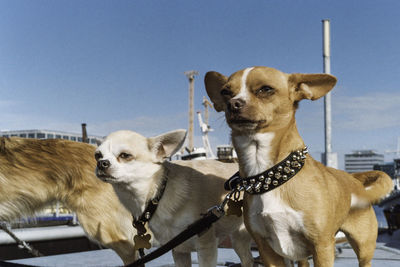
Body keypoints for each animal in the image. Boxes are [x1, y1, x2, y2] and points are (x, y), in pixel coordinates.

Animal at [94, 130, 253, 267]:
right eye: (97, 155)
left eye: (125, 155)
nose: (102, 163)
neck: (158, 193)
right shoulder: (179, 250)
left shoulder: (206, 246)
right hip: (238, 239)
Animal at [206, 66, 394, 266]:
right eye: (225, 92)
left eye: (265, 89)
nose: (233, 103)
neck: (267, 174)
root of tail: (352, 178)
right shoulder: (267, 250)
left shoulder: (322, 246)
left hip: (363, 247)